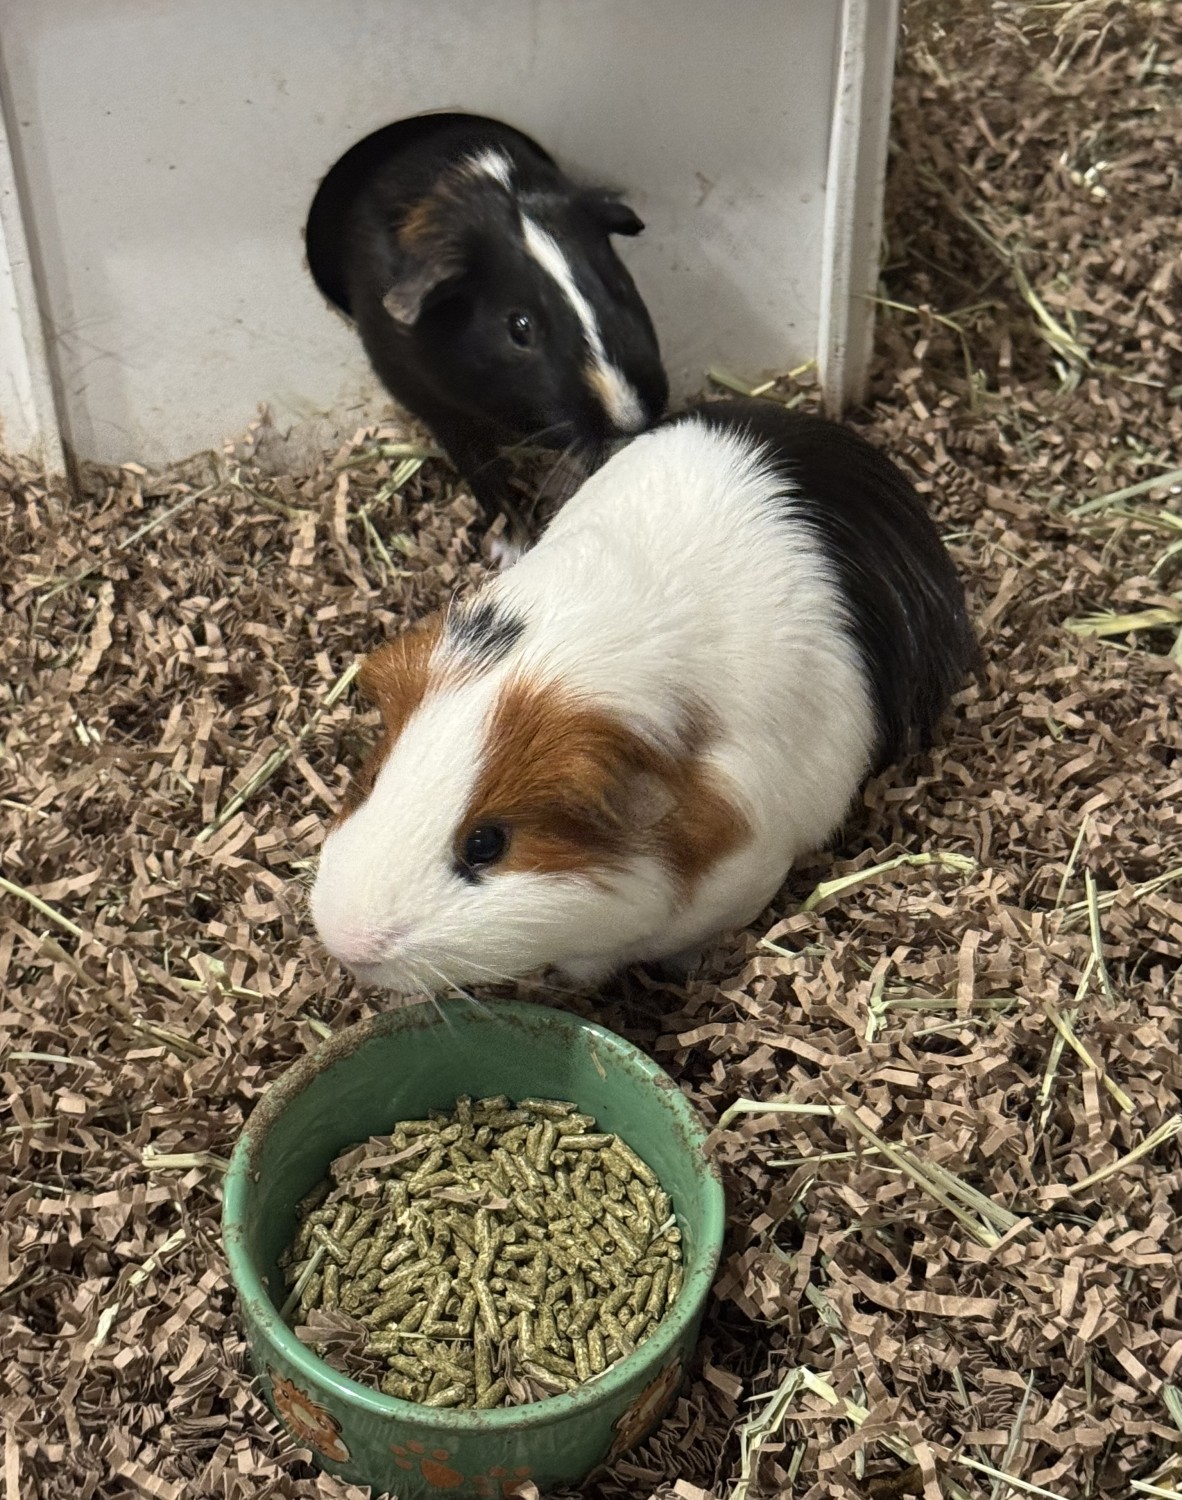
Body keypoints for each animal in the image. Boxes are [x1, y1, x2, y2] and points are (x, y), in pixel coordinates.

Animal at [305, 112, 669, 553]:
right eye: (519, 326)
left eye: (617, 284)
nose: (631, 417)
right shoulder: (434, 405)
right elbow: (476, 459)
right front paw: (511, 543)